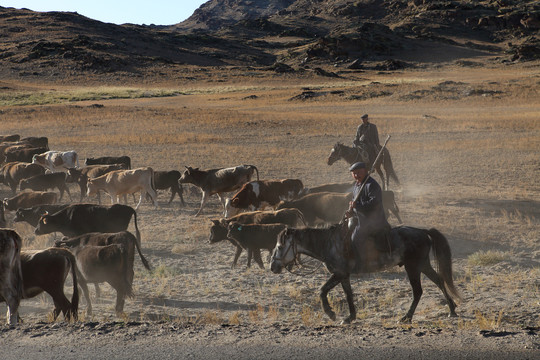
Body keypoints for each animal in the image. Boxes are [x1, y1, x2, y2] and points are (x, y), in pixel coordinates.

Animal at [270, 225, 460, 324]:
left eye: (279, 246)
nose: (272, 267)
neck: (329, 244)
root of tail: (423, 231)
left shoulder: (339, 273)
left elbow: (322, 290)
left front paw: (331, 313)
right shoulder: (344, 275)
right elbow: (348, 295)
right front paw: (350, 317)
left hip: (413, 267)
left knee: (418, 291)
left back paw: (406, 317)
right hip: (423, 265)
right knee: (440, 281)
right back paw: (452, 309)